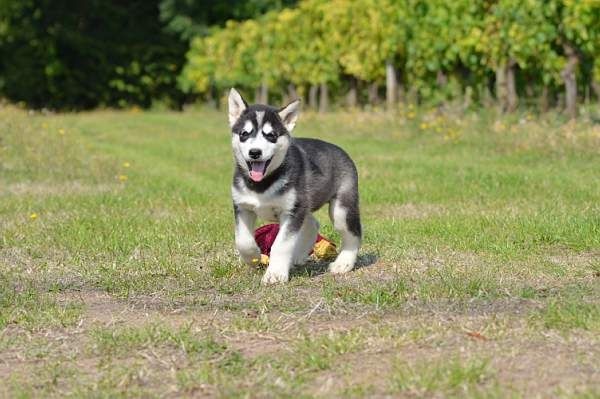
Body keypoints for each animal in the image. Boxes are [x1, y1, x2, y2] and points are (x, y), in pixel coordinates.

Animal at [229, 88, 360, 282]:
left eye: (271, 136)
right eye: (244, 134)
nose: (255, 152)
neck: (263, 184)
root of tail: (341, 150)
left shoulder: (291, 211)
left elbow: (281, 244)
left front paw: (275, 274)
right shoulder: (242, 207)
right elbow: (242, 240)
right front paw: (253, 256)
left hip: (341, 209)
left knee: (354, 233)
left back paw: (344, 263)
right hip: (305, 204)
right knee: (312, 224)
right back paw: (296, 256)